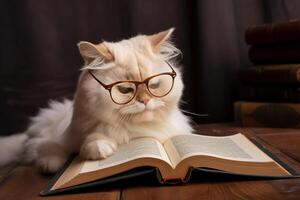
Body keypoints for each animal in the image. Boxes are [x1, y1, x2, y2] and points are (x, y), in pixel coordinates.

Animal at [0, 28, 192, 173]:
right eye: (125, 90)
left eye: (154, 85)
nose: (144, 101)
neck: (135, 133)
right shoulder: (72, 134)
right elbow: (88, 142)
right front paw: (100, 148)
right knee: (39, 146)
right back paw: (50, 165)